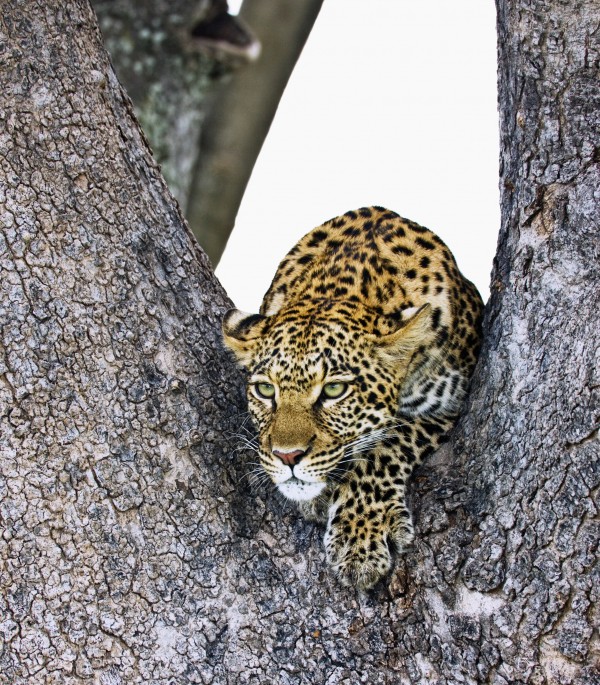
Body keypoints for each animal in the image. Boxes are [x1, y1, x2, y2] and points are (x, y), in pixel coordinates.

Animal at [223, 206, 483, 590]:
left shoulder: (449, 404)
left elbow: (386, 446)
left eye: (334, 390)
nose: (288, 457)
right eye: (266, 390)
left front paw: (358, 538)